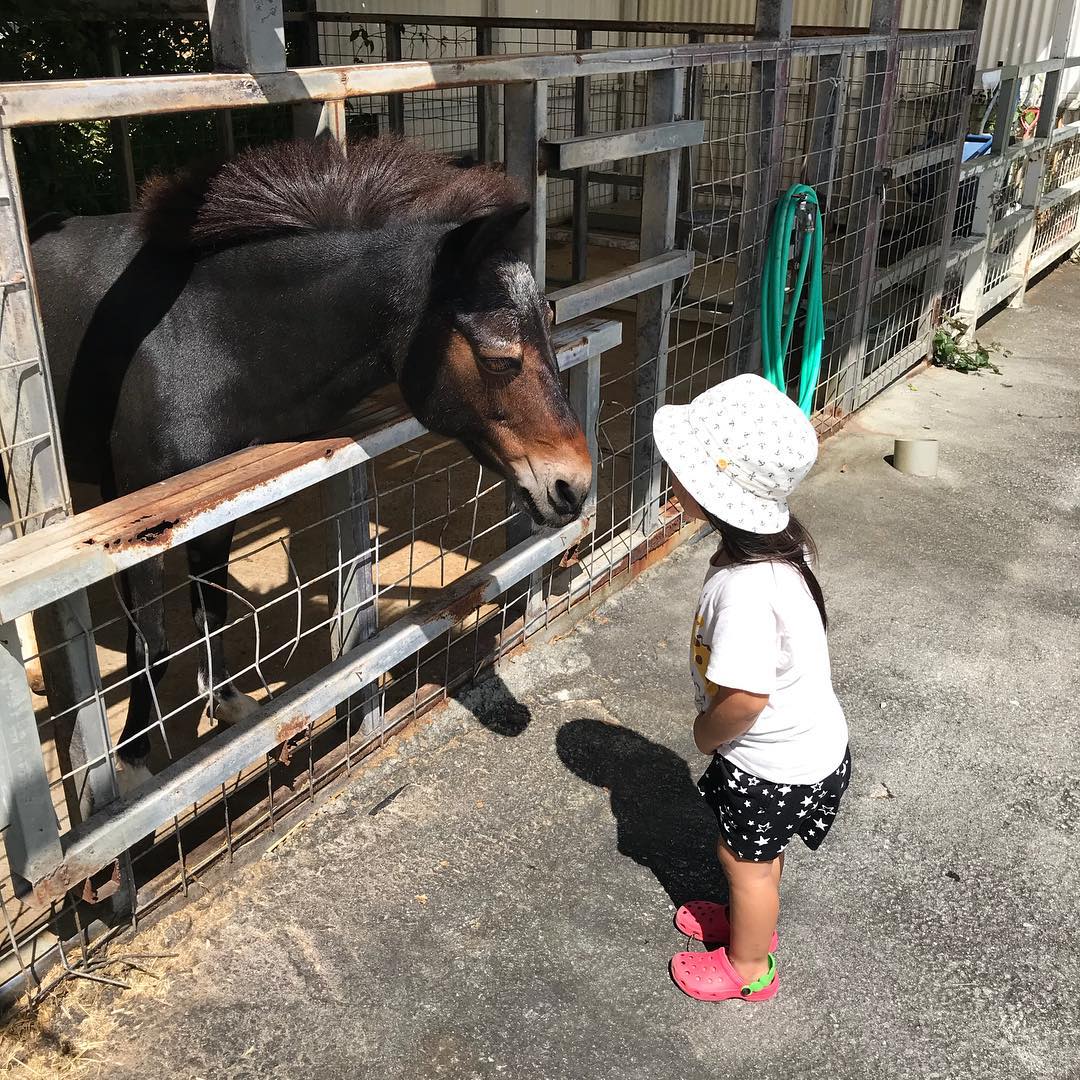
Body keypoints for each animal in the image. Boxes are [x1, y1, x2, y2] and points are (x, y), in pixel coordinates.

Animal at [31, 137, 591, 803]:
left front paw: (228, 705)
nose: (575, 485)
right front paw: (137, 768)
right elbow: (153, 644)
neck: (205, 336)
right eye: (499, 355)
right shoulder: (137, 515)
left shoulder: (218, 502)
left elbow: (211, 605)